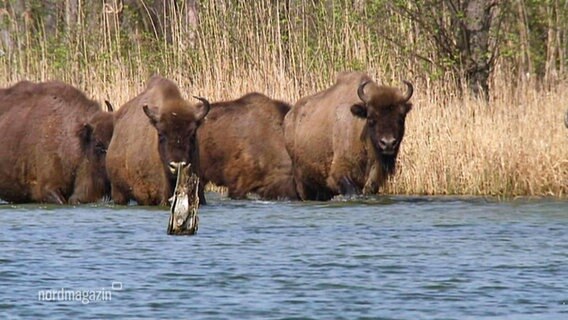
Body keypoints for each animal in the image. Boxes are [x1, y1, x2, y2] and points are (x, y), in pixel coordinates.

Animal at [284, 71, 412, 200]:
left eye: (401, 117)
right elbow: (351, 188)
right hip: (302, 180)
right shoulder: (340, 169)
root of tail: (289, 116)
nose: (388, 143)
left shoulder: (376, 171)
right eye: (370, 118)